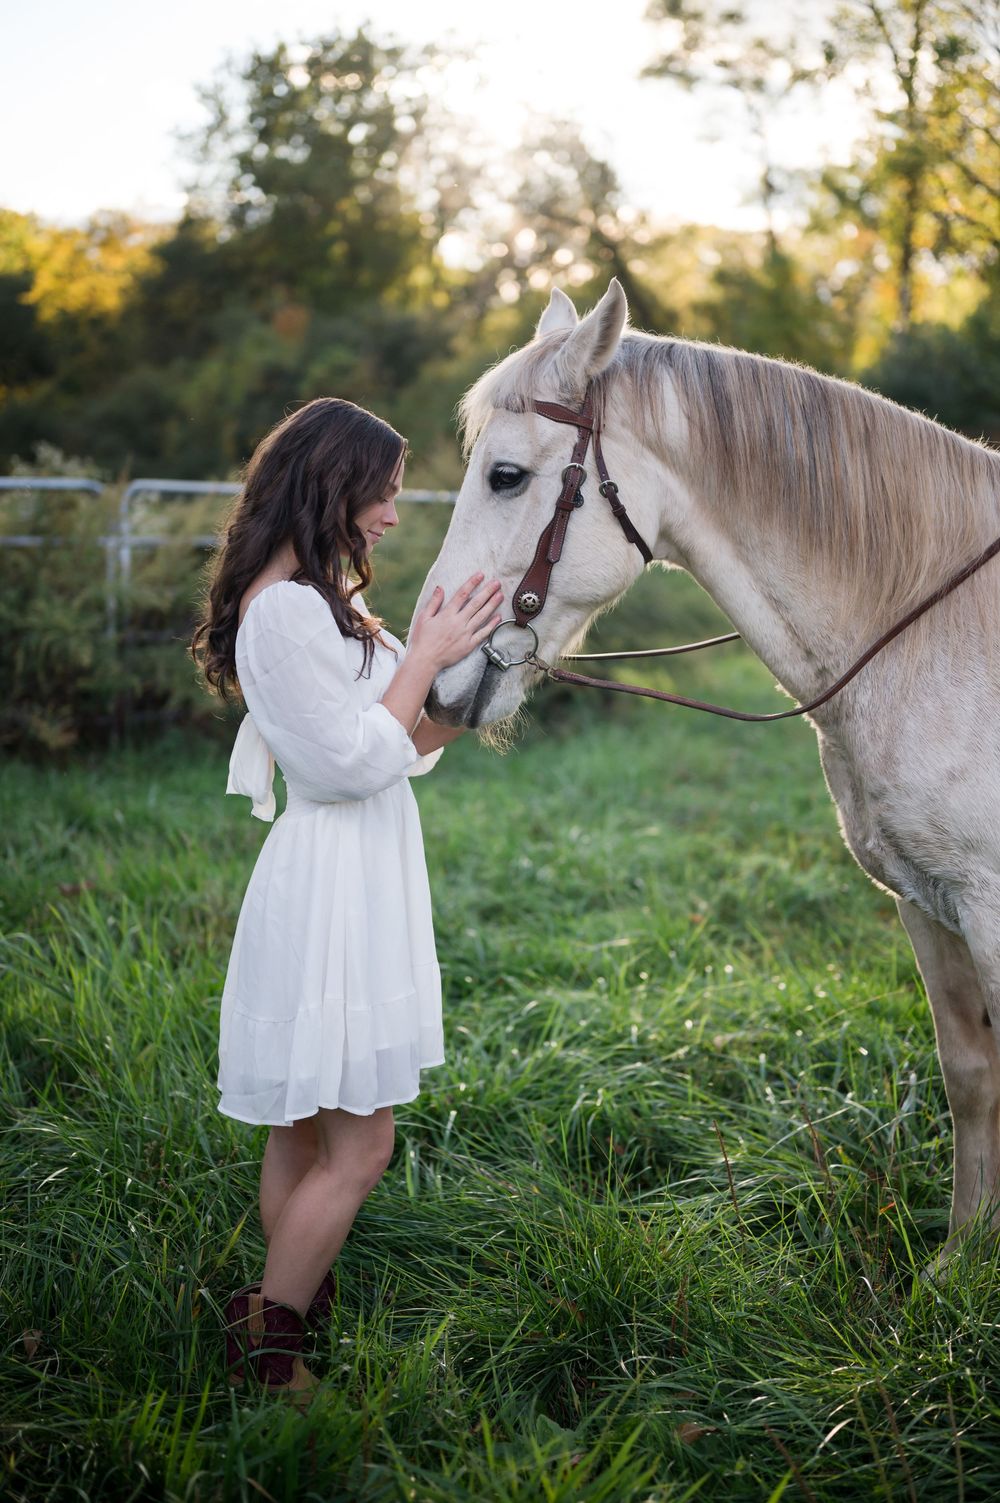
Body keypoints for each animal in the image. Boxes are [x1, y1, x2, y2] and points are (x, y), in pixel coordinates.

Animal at [411, 278, 1000, 1263]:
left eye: (507, 476)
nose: (432, 680)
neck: (936, 637)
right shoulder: (926, 900)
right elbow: (971, 1074)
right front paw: (961, 1258)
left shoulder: (988, 906)